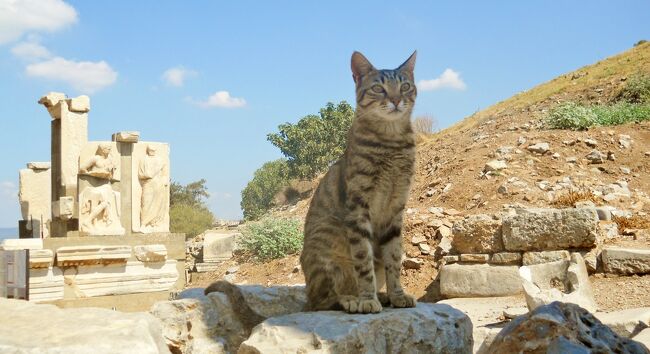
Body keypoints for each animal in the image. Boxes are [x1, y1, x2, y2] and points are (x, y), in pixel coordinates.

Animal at [298, 50, 416, 312]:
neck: (392, 142)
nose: (396, 100)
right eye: (379, 89)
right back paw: (351, 299)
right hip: (324, 253)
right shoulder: (358, 207)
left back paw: (382, 296)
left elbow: (394, 259)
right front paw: (368, 299)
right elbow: (363, 262)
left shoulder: (396, 208)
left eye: (404, 86)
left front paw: (397, 294)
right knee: (323, 300)